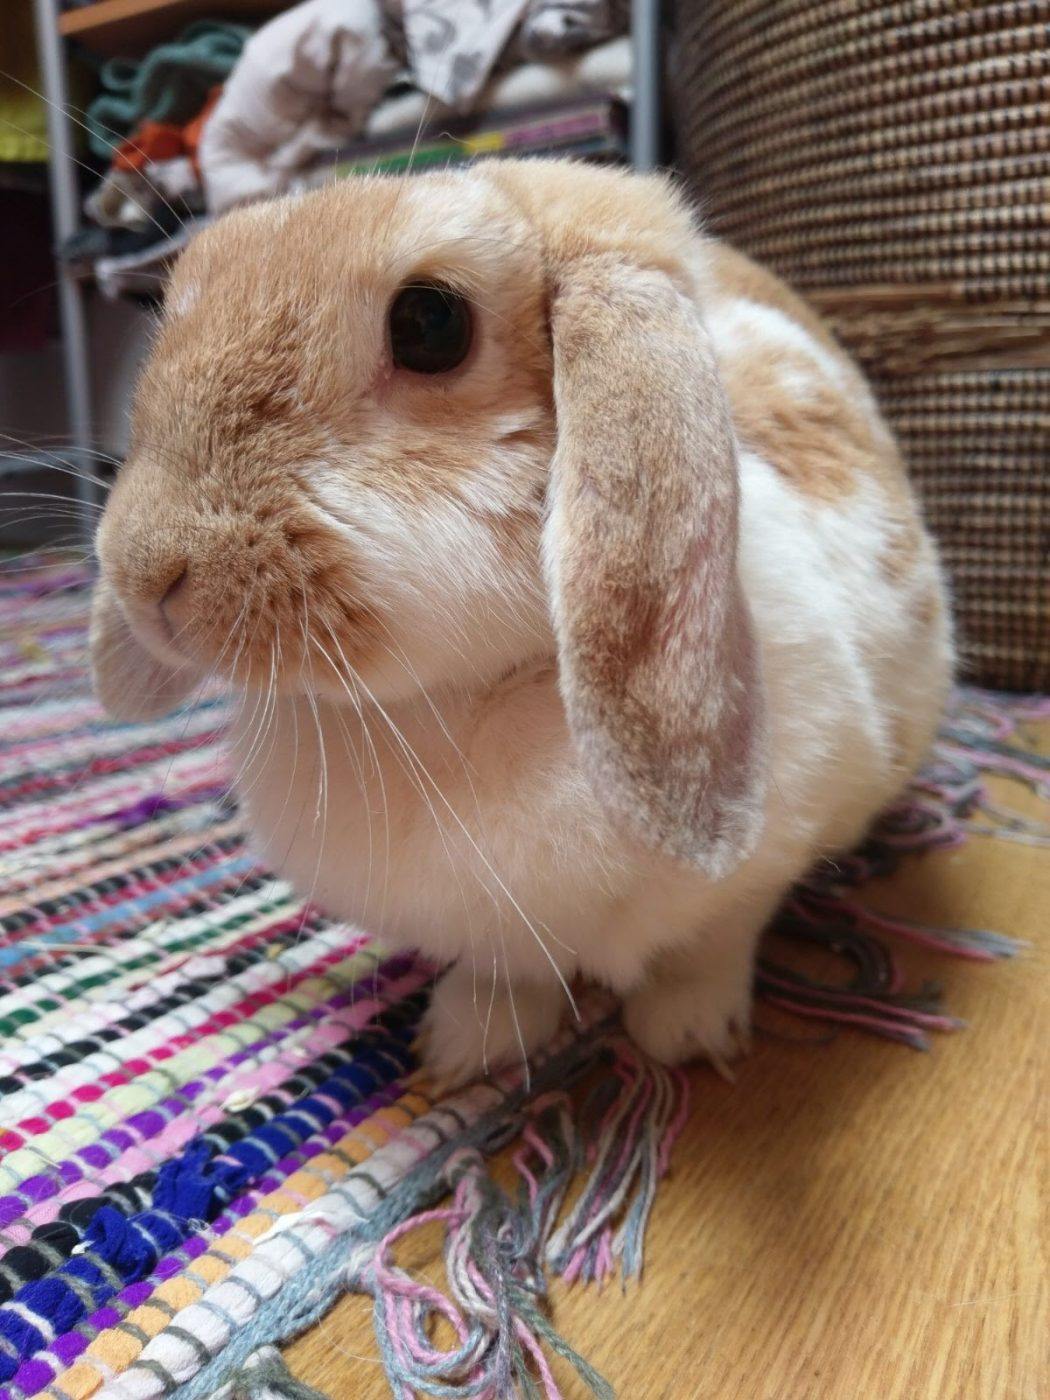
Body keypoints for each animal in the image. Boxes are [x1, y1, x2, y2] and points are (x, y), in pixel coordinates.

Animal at [88, 161, 952, 1080]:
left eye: (430, 323)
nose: (146, 572)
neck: (458, 700)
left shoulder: (767, 859)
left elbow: (714, 940)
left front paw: (686, 1034)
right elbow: (510, 975)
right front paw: (464, 1046)